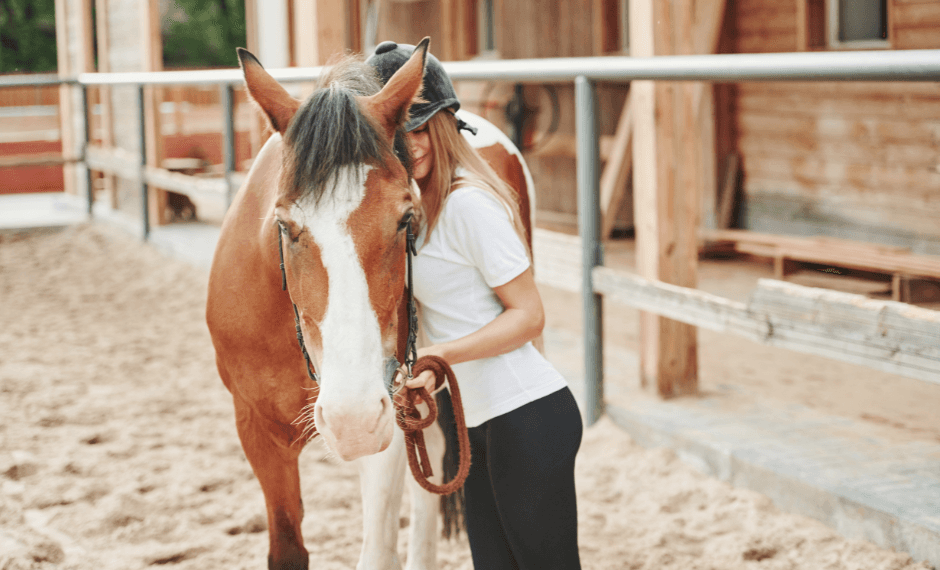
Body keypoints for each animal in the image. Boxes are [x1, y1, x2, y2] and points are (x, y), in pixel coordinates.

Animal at [206, 39, 535, 570]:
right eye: (284, 225)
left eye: (406, 218)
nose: (351, 418)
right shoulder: (257, 430)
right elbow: (288, 547)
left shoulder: (389, 422)